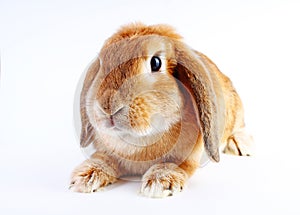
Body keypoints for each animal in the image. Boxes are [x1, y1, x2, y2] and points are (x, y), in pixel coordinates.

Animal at [69, 22, 252, 197]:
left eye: (155, 63)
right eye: (101, 65)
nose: (108, 107)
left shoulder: (186, 157)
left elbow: (172, 164)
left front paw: (158, 184)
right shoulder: (108, 152)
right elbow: (102, 159)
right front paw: (84, 178)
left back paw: (241, 145)